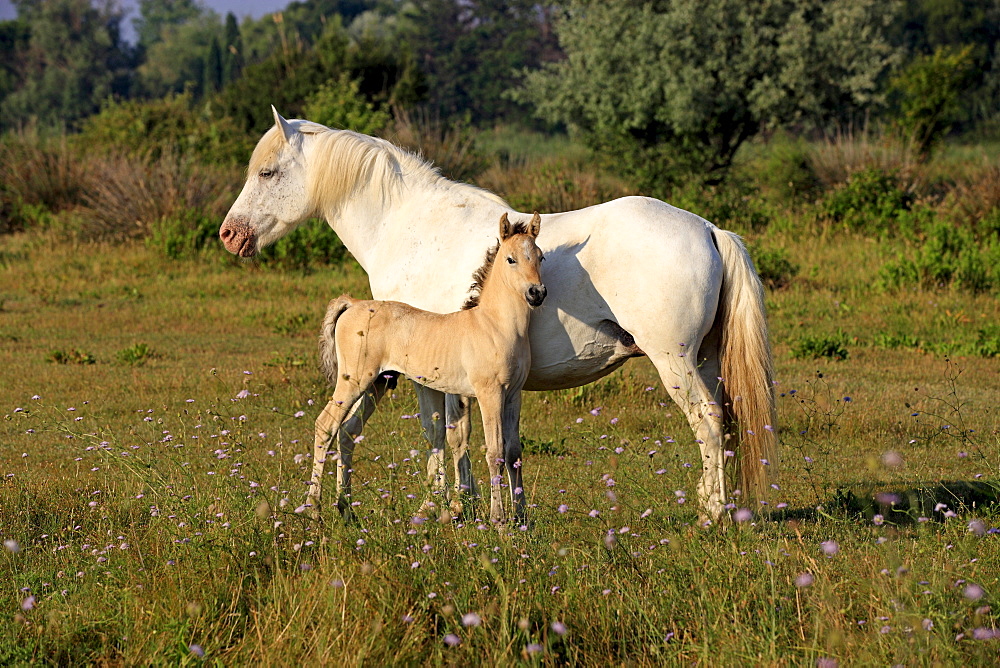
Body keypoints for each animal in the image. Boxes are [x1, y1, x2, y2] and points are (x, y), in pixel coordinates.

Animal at [223, 107, 776, 524]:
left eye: (267, 172)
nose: (229, 234)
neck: (411, 225)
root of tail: (708, 229)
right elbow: (464, 437)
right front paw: (470, 507)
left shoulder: (424, 375)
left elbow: (441, 434)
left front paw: (443, 509)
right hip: (705, 360)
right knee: (725, 424)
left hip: (674, 361)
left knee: (707, 423)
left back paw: (711, 515)